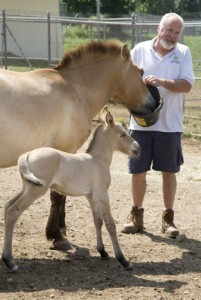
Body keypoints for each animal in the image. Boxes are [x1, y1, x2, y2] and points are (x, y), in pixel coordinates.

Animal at [0, 38, 156, 250]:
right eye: (140, 72)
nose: (152, 104)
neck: (73, 89)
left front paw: (60, 231)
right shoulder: (65, 150)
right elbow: (57, 195)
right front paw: (57, 235)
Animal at [1, 108, 140, 272]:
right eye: (123, 135)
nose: (138, 149)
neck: (98, 161)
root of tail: (27, 155)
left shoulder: (91, 196)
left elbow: (97, 221)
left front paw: (103, 251)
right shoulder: (102, 195)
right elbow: (110, 224)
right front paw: (123, 260)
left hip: (27, 187)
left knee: (7, 206)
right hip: (35, 191)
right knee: (13, 211)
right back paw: (10, 262)